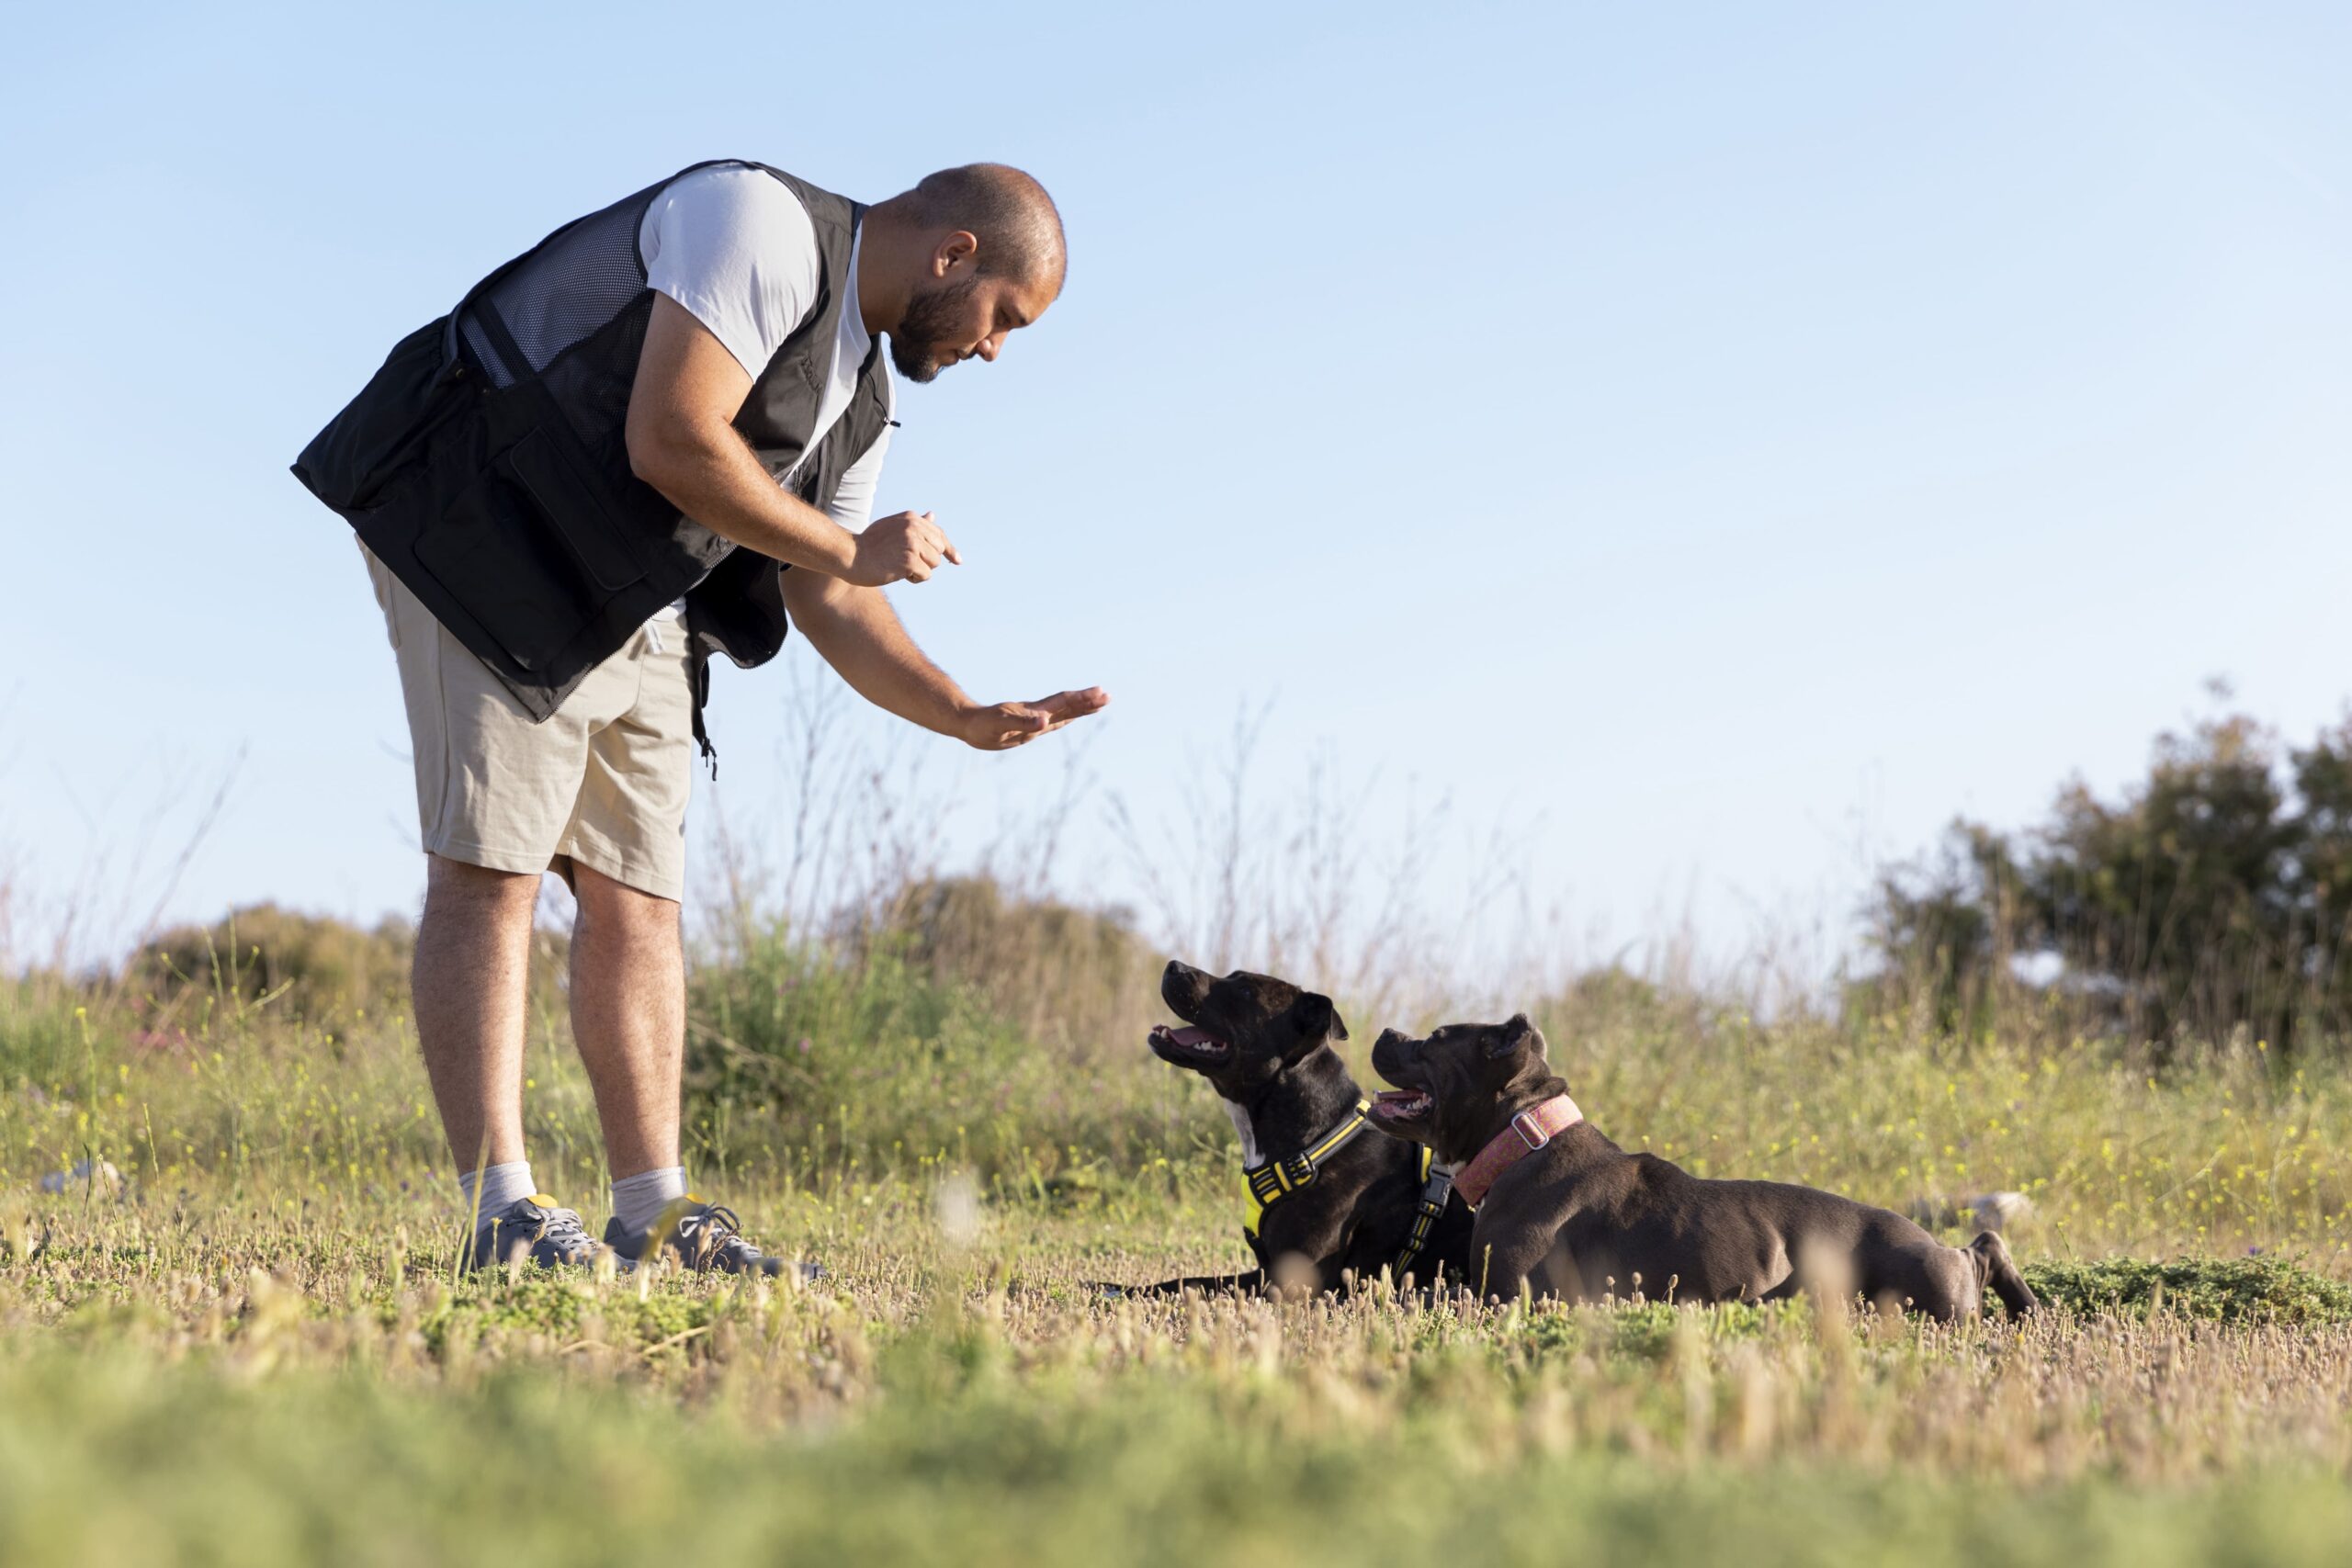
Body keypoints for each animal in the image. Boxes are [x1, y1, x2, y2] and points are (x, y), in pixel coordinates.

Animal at [1124, 964, 1467, 1297]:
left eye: (1245, 991)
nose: (1173, 966)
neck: (1315, 1142)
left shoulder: (1292, 1285)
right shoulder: (1264, 1270)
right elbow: (1186, 1283)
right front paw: (1117, 1288)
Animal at [1363, 1010, 2041, 1316]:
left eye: (1435, 1038)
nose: (1388, 1029)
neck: (1523, 1136)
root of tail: (1930, 1242)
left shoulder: (1506, 1295)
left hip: (1921, 1284)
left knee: (1977, 1252)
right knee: (1988, 1243)